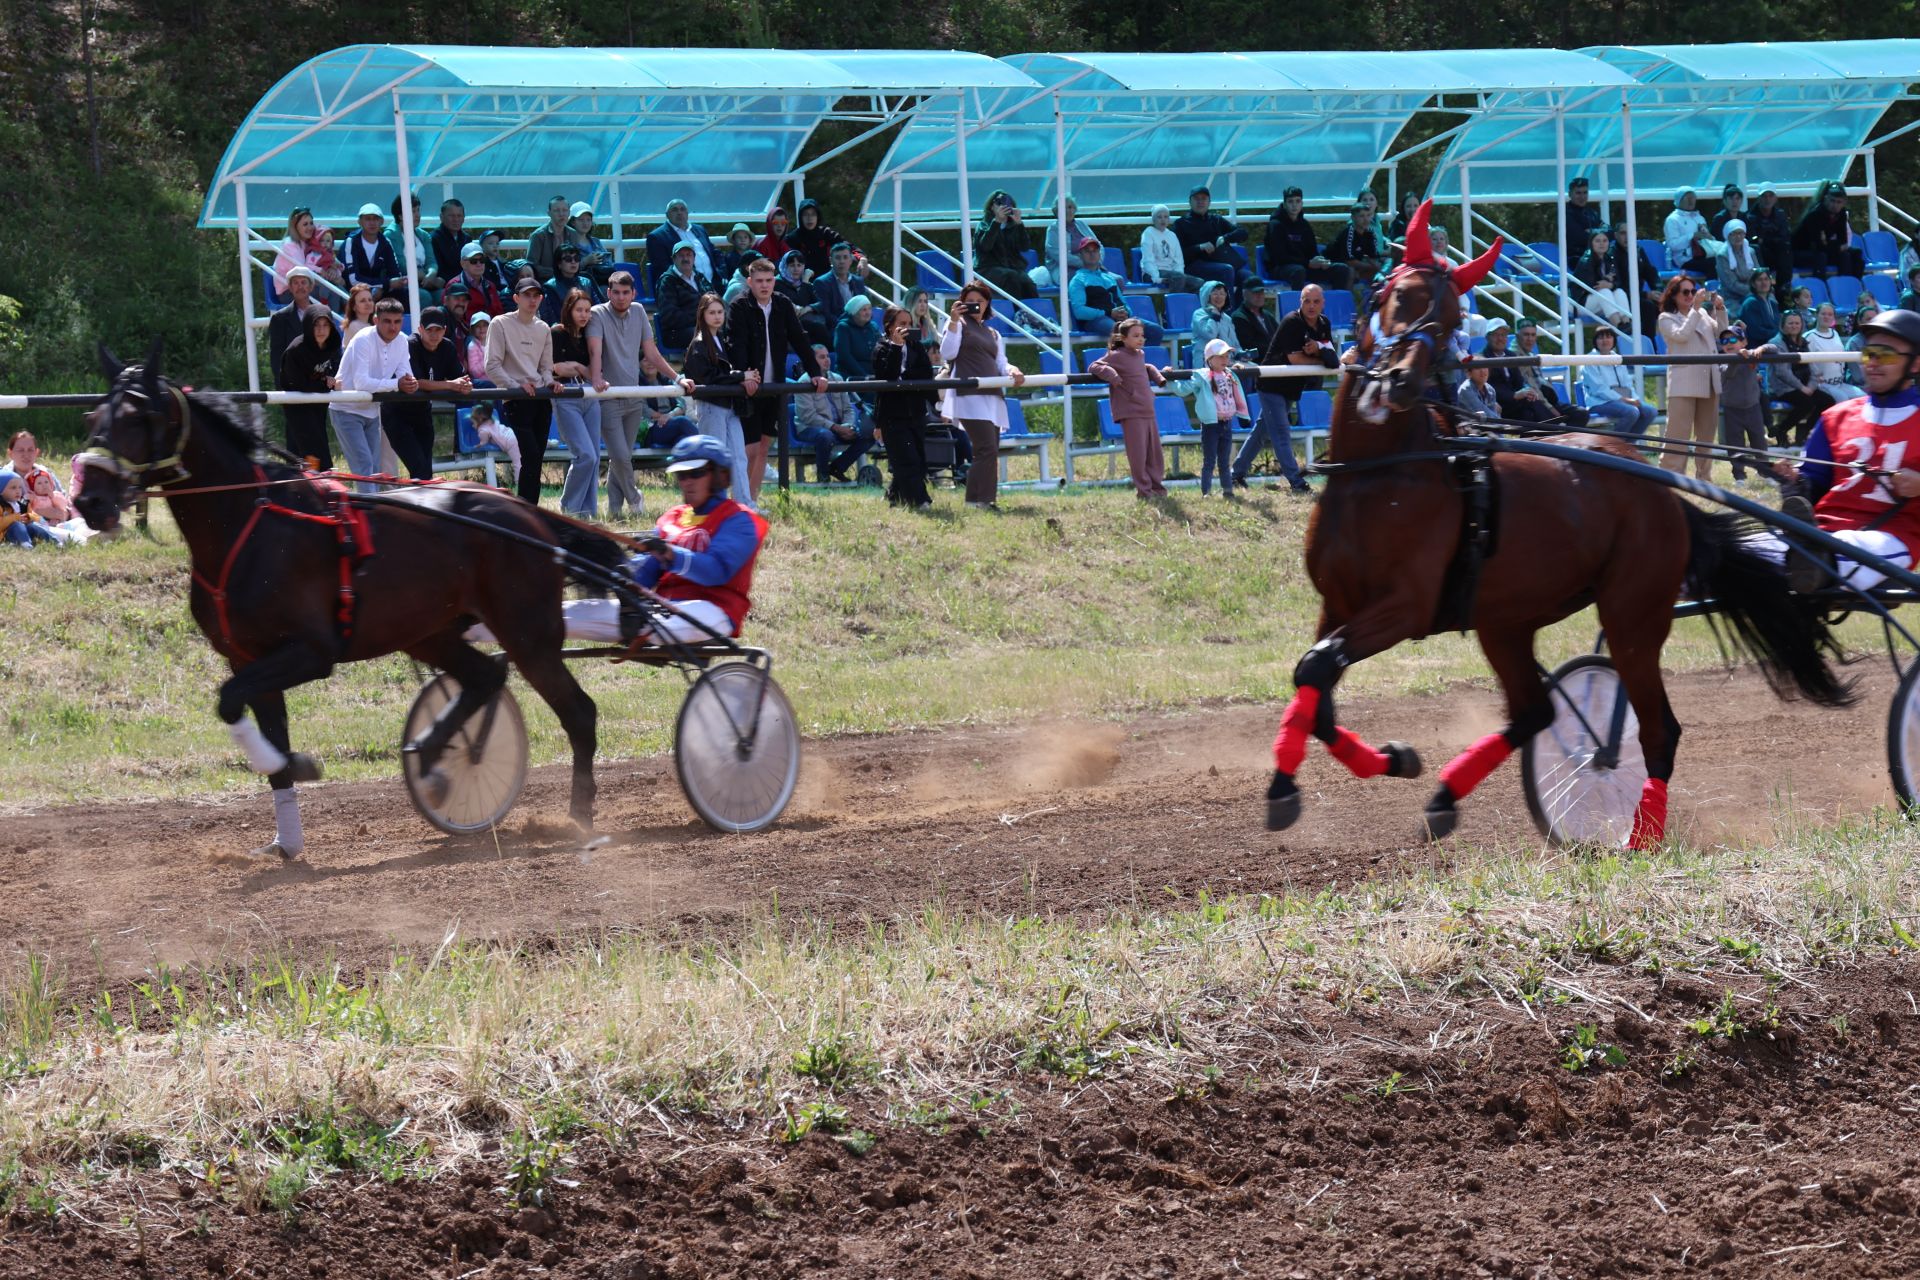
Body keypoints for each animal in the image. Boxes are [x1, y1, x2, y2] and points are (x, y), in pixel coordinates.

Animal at [76, 347, 622, 859]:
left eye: (137, 416)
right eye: (94, 416)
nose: (89, 501)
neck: (249, 524)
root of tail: (528, 514)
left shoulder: (310, 652)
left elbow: (232, 701)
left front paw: (292, 763)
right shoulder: (249, 657)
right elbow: (260, 730)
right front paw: (287, 837)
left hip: (527, 633)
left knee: (578, 712)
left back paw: (577, 815)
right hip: (430, 632)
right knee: (486, 677)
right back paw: (431, 758)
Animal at [1267, 202, 1850, 852]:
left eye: (1451, 322)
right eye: (1397, 294)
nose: (1397, 382)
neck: (1380, 474)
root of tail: (1662, 494)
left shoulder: (1404, 608)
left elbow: (1316, 667)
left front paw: (1296, 787)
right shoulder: (1338, 604)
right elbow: (1314, 685)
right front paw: (1388, 760)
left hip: (1630, 614)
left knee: (1657, 729)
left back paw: (1637, 837)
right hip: (1506, 619)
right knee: (1535, 712)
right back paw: (1447, 797)